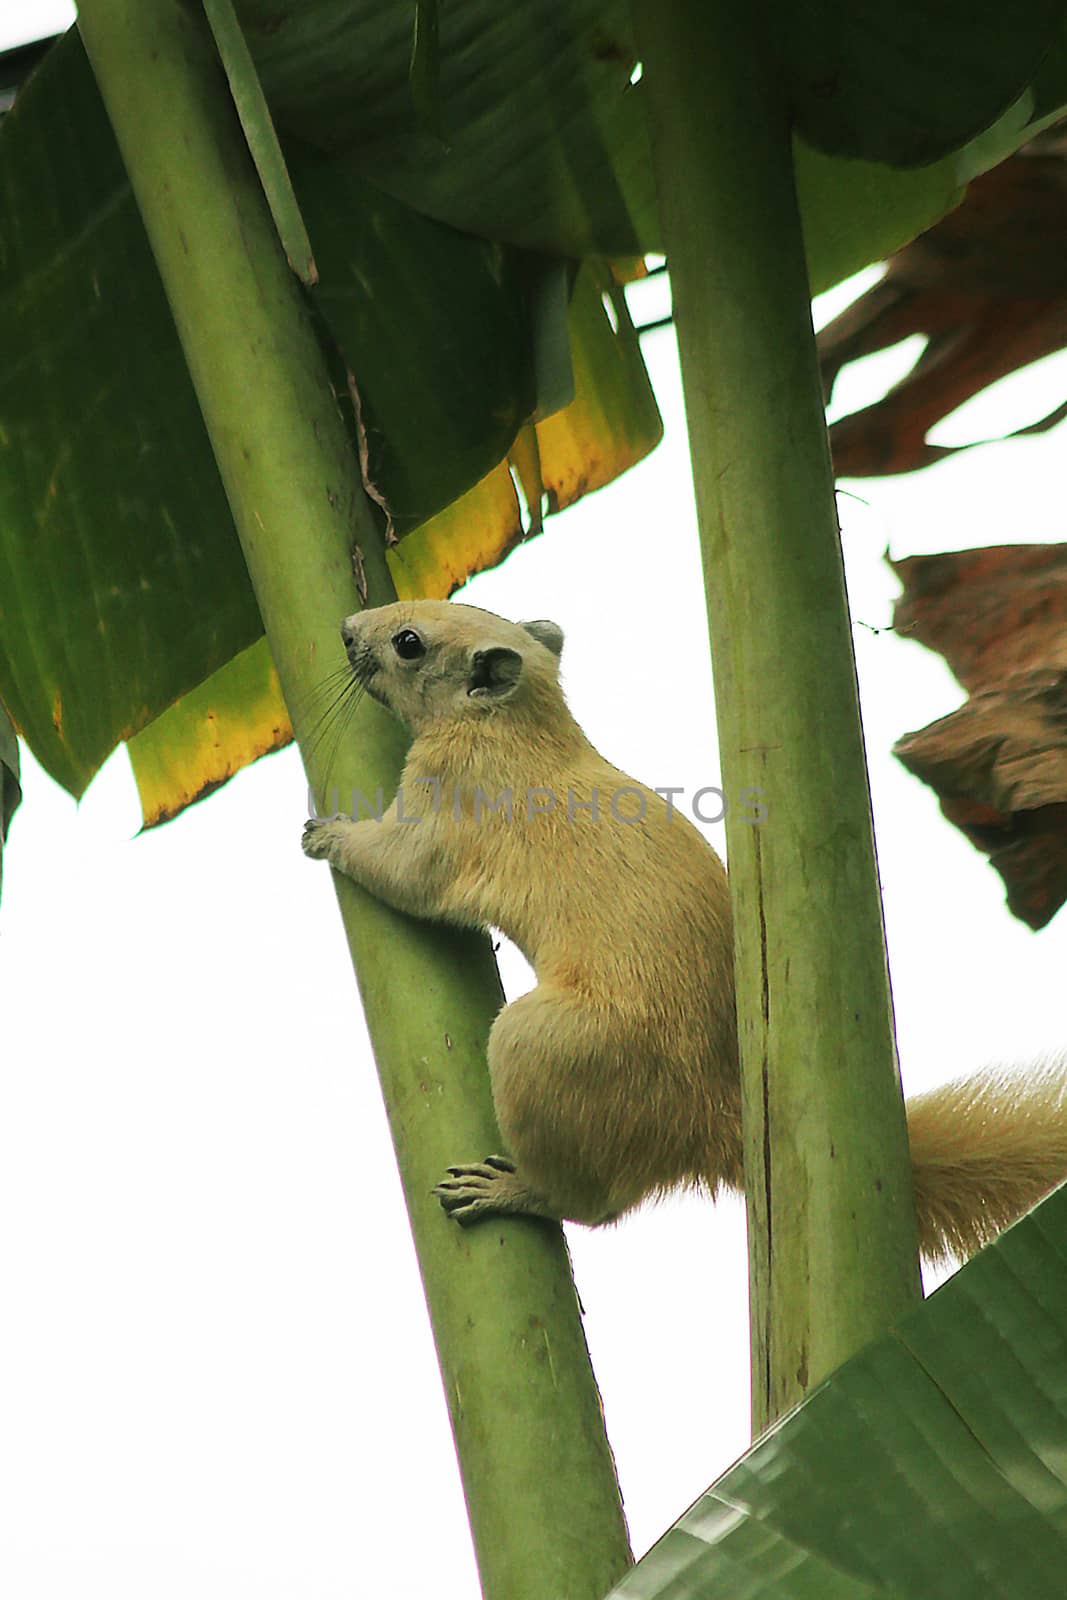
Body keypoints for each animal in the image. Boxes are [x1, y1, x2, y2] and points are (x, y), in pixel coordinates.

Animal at [300, 601, 1067, 1260]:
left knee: (593, 1205)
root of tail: (710, 1119)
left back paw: (511, 1190)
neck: (518, 728)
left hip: (542, 1045)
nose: (344, 627)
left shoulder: (444, 811)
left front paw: (327, 834)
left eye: (409, 642)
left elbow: (403, 871)